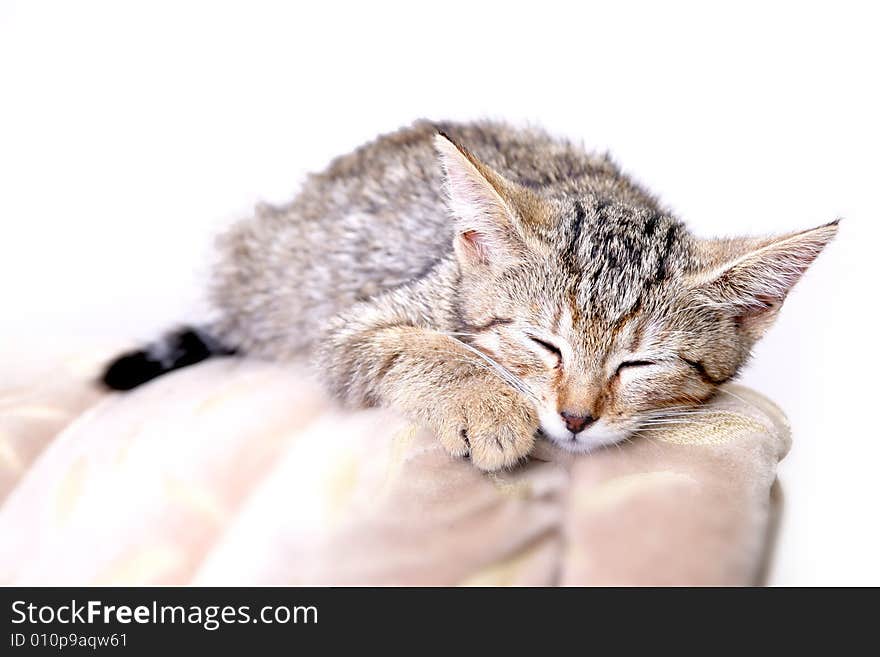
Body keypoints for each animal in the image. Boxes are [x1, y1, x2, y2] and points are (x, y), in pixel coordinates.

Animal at [99, 121, 836, 472]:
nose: (575, 418)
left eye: (639, 364)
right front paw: (486, 404)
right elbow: (423, 346)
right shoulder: (351, 329)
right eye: (544, 344)